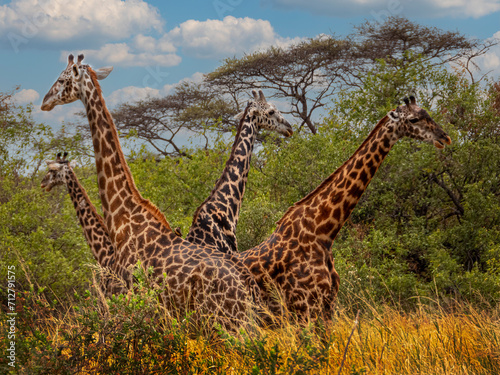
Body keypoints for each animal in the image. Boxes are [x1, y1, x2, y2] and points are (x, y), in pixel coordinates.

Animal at [236, 97, 452, 320]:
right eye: (413, 119)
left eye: (428, 114)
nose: (444, 137)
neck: (322, 232)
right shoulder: (305, 307)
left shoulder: (328, 305)